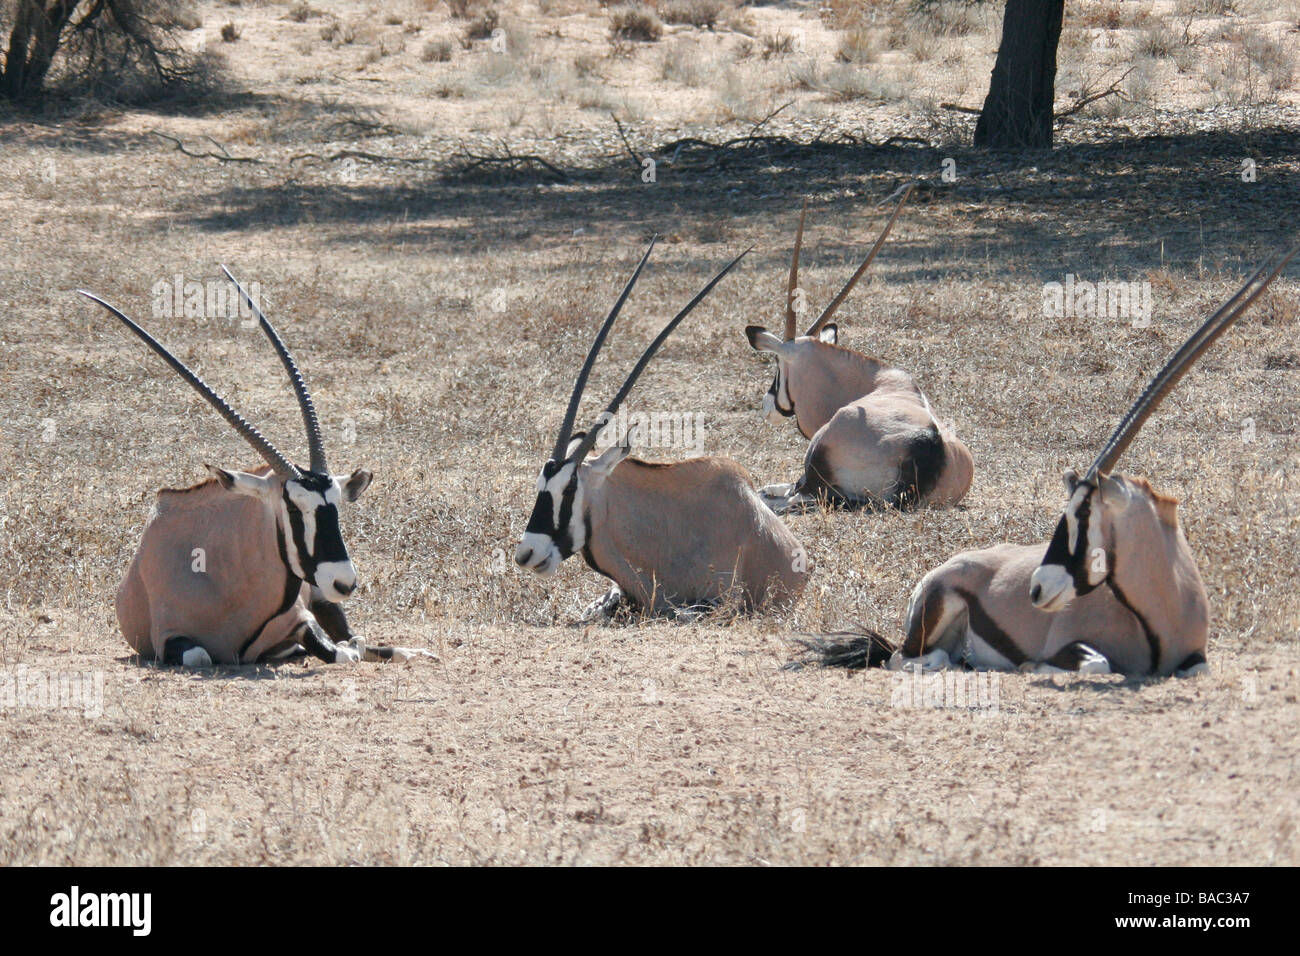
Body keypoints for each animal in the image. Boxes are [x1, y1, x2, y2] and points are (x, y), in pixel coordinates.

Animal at [79, 270, 426, 665]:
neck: (218, 569)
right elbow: (200, 656)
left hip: (321, 599)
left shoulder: (302, 618)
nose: (344, 581)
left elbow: (344, 649)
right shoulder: (166, 638)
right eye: (293, 508)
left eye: (337, 505)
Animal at [748, 187, 972, 515]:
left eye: (778, 367)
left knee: (799, 496)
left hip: (820, 461)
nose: (766, 407)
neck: (878, 382)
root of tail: (930, 448)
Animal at [795, 243, 1294, 676]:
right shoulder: (1073, 645)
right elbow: (1096, 663)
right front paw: (1034, 666)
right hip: (930, 622)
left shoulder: (1197, 660)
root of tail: (945, 568)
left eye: (1081, 514)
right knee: (909, 658)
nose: (1037, 588)